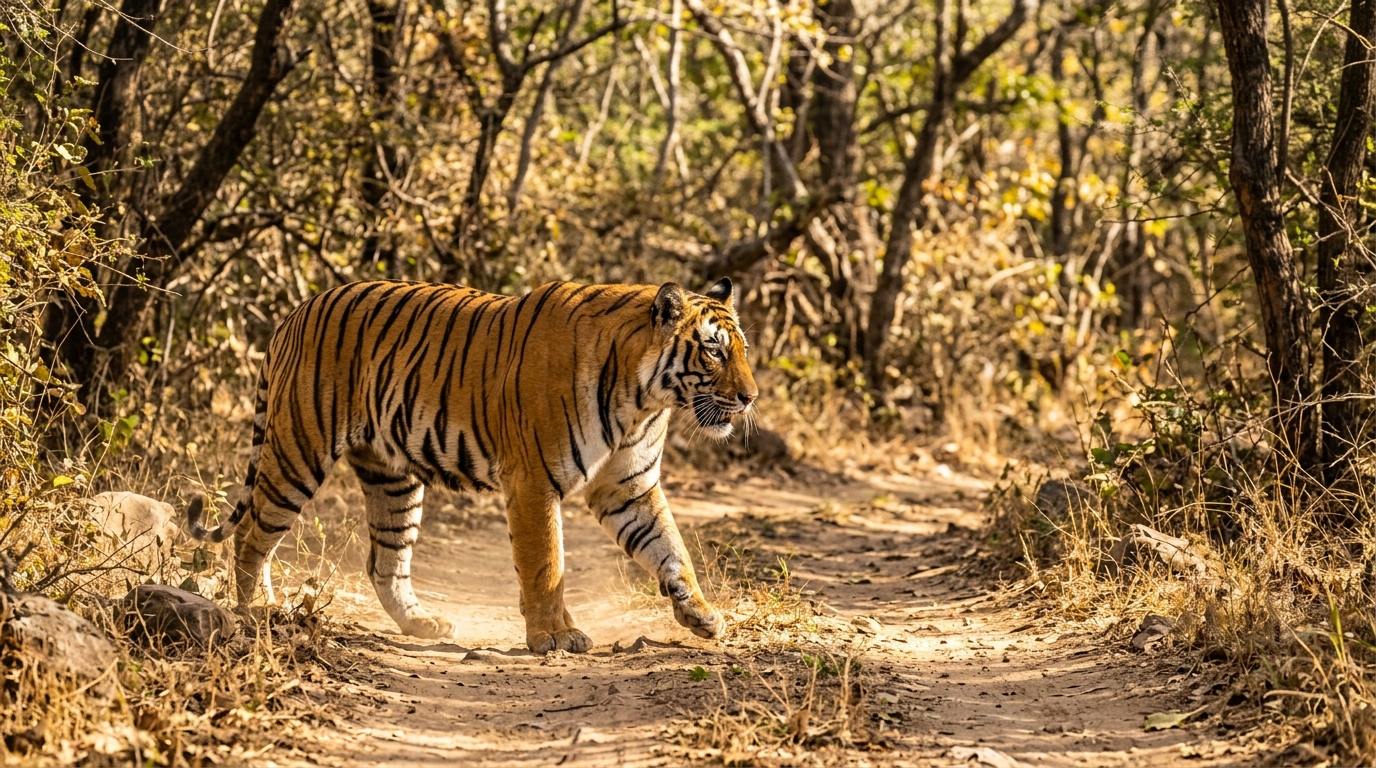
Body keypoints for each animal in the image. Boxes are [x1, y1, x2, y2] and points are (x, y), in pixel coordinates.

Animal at [187, 278, 758, 653]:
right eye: (713, 351)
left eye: (743, 350)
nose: (750, 397)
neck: (644, 397)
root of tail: (294, 312)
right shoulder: (532, 481)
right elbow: (546, 564)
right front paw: (554, 636)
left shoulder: (628, 486)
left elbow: (671, 549)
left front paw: (701, 615)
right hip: (297, 452)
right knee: (252, 535)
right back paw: (257, 611)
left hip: (393, 479)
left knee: (384, 562)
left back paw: (423, 625)